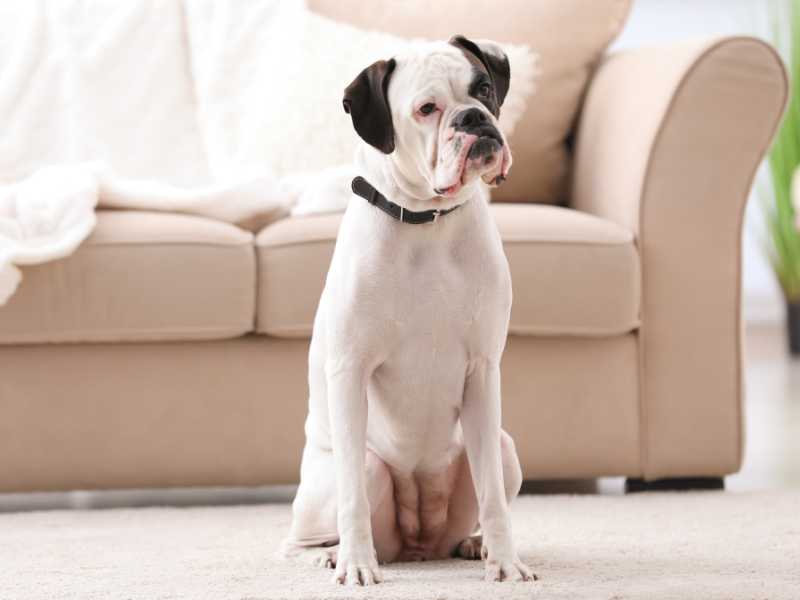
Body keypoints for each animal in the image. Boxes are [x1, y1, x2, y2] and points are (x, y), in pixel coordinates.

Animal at [278, 34, 536, 584]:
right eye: (426, 109)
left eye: (484, 89)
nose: (474, 118)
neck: (426, 221)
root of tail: (419, 549)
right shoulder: (350, 370)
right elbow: (353, 500)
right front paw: (356, 565)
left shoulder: (483, 372)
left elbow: (494, 497)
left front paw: (504, 561)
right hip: (350, 476)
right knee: (303, 535)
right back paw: (330, 554)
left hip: (504, 449)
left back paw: (473, 544)